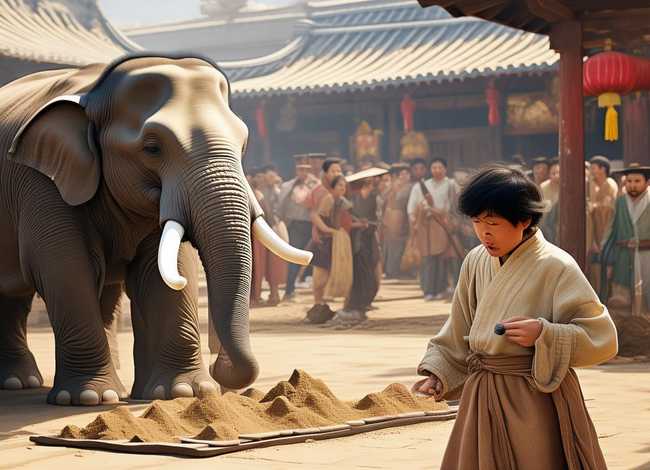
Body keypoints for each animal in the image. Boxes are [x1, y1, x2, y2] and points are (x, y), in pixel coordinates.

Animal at [0, 53, 312, 405]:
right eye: (152, 148)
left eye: (243, 145)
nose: (220, 369)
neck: (95, 91)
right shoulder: (41, 182)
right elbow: (64, 266)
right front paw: (89, 398)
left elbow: (164, 269)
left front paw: (181, 393)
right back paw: (25, 383)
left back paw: (30, 381)